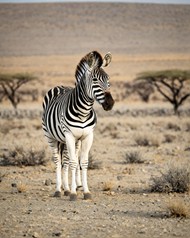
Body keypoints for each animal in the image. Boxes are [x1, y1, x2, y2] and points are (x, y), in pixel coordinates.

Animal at [42, 50, 114, 201]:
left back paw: (67, 188)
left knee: (66, 161)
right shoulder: (69, 135)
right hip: (51, 136)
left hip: (70, 141)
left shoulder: (87, 136)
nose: (110, 103)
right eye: (95, 80)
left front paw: (85, 191)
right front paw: (74, 194)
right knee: (58, 161)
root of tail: (59, 86)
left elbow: (83, 162)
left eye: (108, 79)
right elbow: (74, 163)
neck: (83, 112)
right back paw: (59, 190)